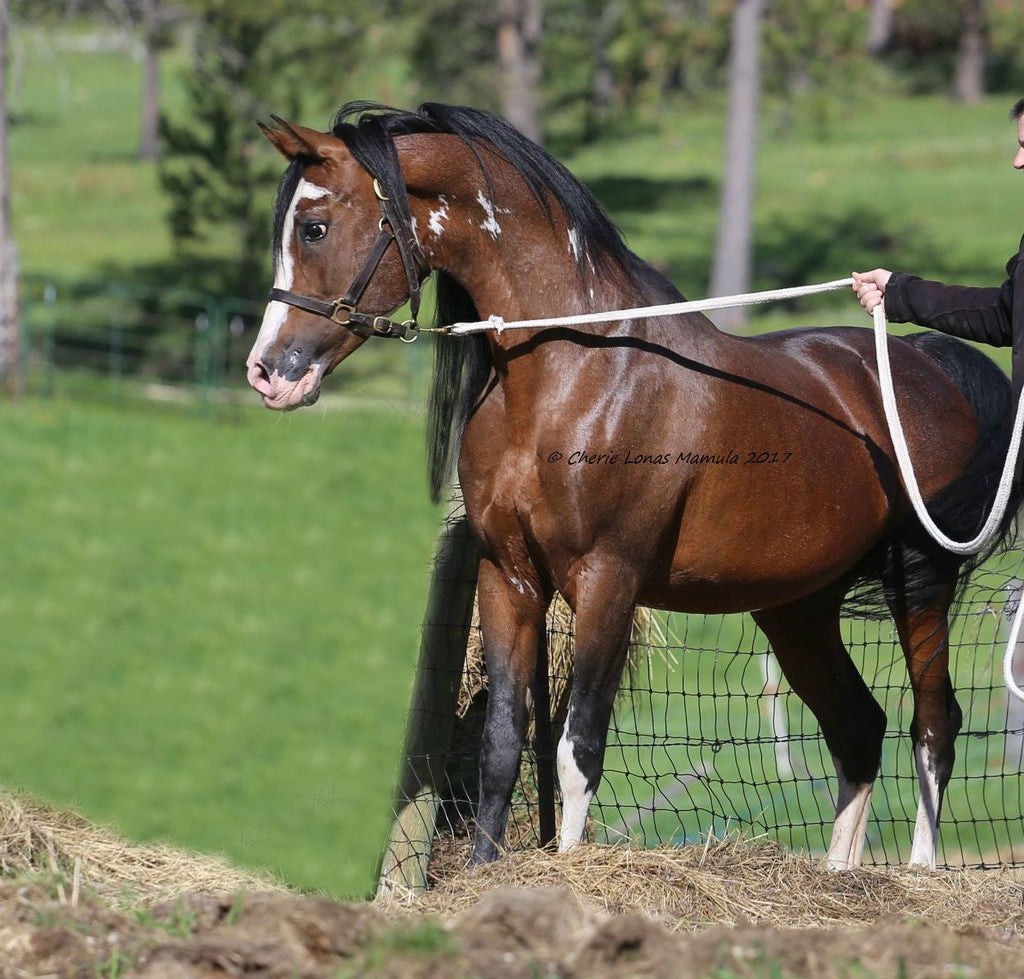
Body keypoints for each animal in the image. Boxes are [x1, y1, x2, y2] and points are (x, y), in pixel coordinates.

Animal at [245, 101, 1015, 872]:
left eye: (314, 227)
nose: (269, 373)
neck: (575, 372)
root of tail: (927, 361)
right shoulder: (508, 576)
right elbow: (502, 744)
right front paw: (484, 871)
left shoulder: (608, 579)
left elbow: (577, 748)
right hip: (797, 605)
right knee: (858, 726)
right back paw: (840, 874)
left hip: (919, 578)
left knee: (933, 722)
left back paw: (920, 869)